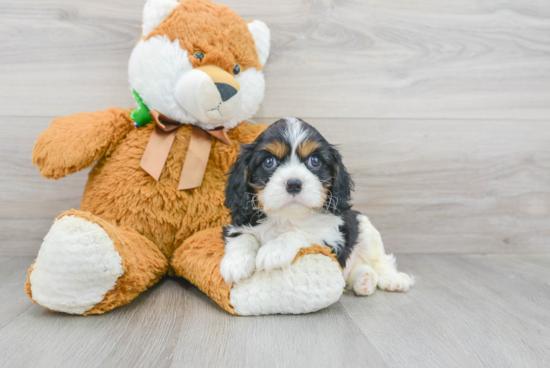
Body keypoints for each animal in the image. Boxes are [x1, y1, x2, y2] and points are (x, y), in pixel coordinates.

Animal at [220, 118, 414, 296]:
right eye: (269, 162)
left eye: (315, 161)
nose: (294, 184)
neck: (288, 216)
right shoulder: (239, 222)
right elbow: (244, 236)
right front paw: (235, 262)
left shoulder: (331, 238)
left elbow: (302, 232)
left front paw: (274, 251)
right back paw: (364, 280)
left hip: (364, 227)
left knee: (381, 260)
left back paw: (393, 279)